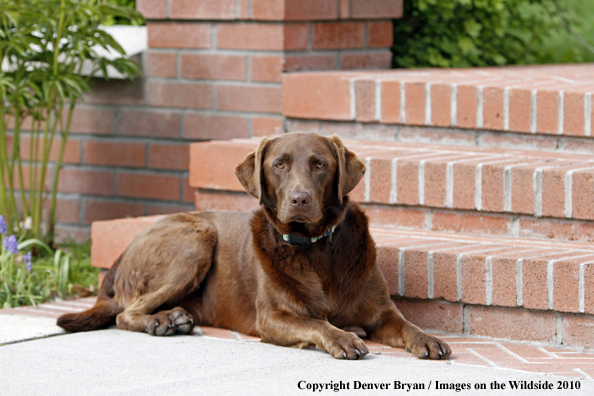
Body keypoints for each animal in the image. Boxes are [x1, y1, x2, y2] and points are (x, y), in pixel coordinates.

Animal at [59, 132, 448, 358]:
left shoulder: (381, 312)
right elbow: (317, 324)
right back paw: (163, 322)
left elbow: (406, 325)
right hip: (196, 238)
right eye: (279, 165)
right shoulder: (272, 318)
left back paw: (173, 319)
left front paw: (427, 338)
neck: (315, 248)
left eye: (320, 164)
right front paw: (343, 338)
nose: (300, 199)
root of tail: (121, 254)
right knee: (126, 313)